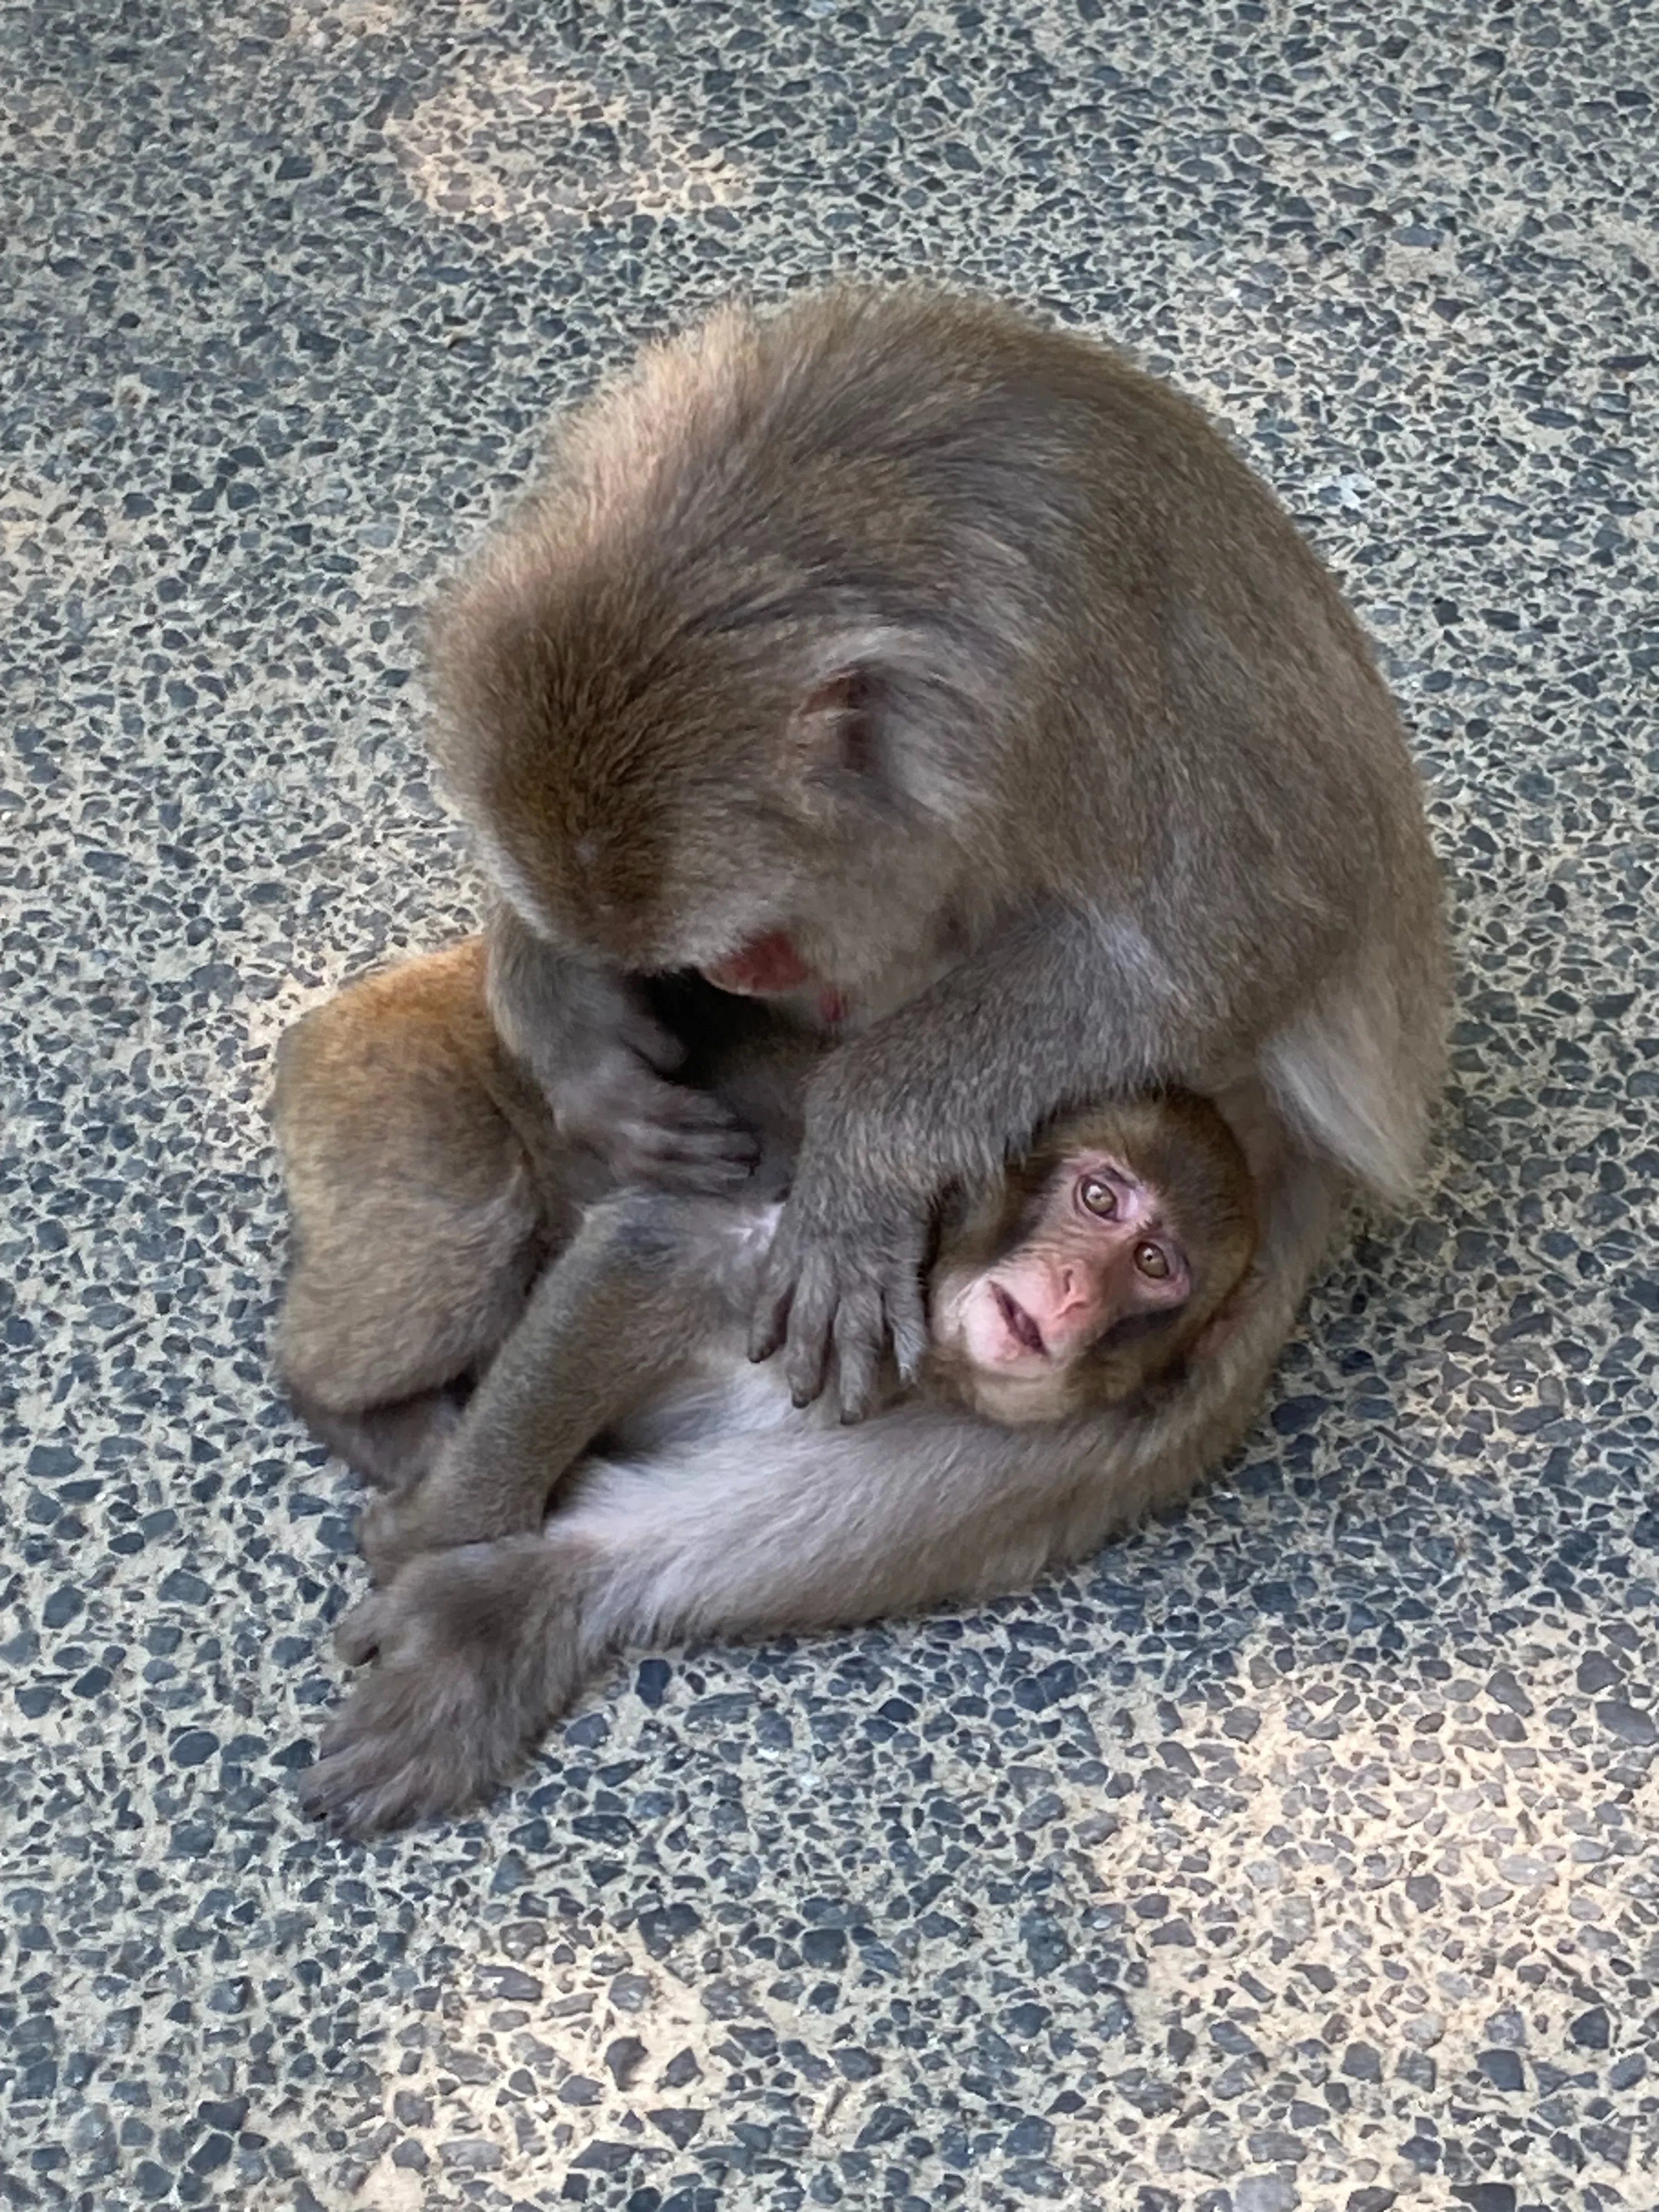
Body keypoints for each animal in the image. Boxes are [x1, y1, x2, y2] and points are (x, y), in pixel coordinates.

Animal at [296, 1086, 1263, 1832]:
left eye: (1152, 1263)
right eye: (1098, 1199)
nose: (1071, 1293)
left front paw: (483, 1622)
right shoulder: (825, 1280)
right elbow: (654, 1249)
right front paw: (434, 1537)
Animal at [425, 282, 1447, 1431]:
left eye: (758, 939)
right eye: (710, 954)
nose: (735, 980)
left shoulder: (1067, 663)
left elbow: (1225, 942)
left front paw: (859, 1161)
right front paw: (583, 1049)